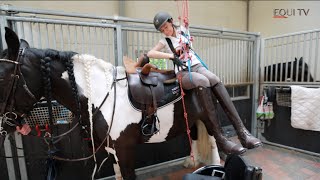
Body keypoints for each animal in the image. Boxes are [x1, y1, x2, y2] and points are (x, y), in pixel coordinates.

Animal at [0, 27, 222, 179]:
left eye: (2, 76)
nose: (4, 125)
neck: (101, 96)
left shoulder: (124, 151)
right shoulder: (112, 149)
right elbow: (117, 174)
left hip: (207, 118)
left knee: (213, 141)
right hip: (192, 118)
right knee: (194, 134)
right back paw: (191, 161)